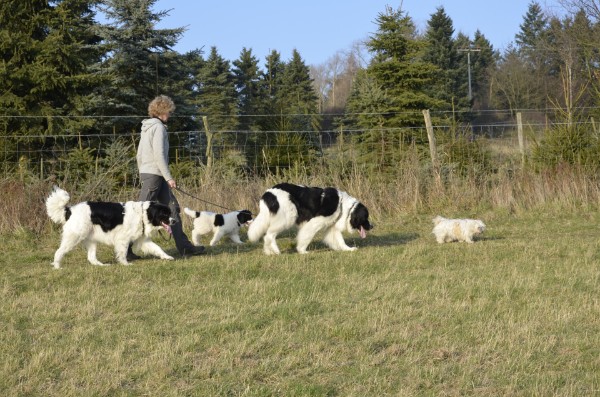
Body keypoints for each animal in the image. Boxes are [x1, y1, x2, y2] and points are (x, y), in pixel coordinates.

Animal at [45, 186, 176, 270]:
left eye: (170, 213)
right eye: (165, 214)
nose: (174, 221)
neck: (143, 214)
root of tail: (70, 210)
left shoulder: (143, 240)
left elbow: (158, 248)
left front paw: (167, 257)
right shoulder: (123, 239)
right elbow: (123, 253)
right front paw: (125, 264)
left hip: (91, 239)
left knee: (91, 258)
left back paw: (102, 266)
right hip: (74, 237)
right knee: (59, 252)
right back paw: (57, 266)